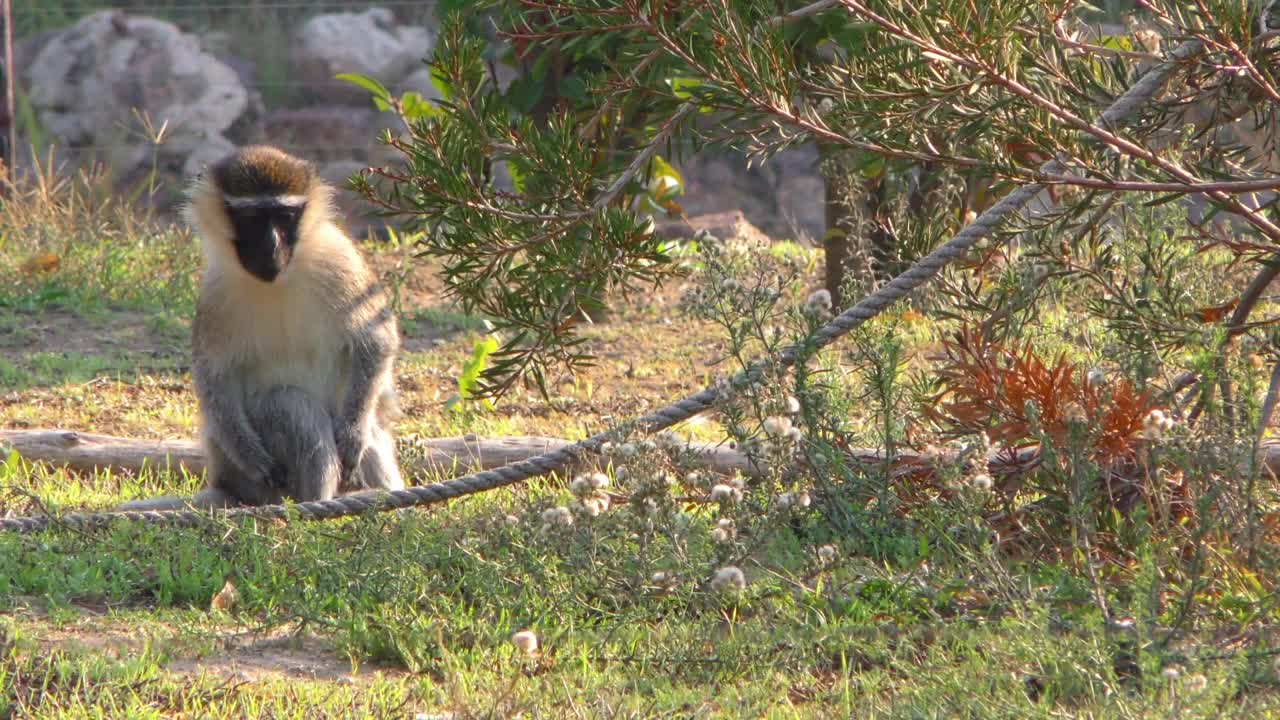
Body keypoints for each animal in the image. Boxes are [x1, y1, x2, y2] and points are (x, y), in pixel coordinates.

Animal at [118, 145, 404, 512]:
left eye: (284, 216)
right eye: (253, 217)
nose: (271, 245)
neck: (277, 281)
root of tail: (227, 485)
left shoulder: (339, 259)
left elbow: (376, 339)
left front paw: (354, 435)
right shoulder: (216, 291)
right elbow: (214, 377)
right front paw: (251, 455)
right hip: (252, 480)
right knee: (289, 405)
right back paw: (314, 501)